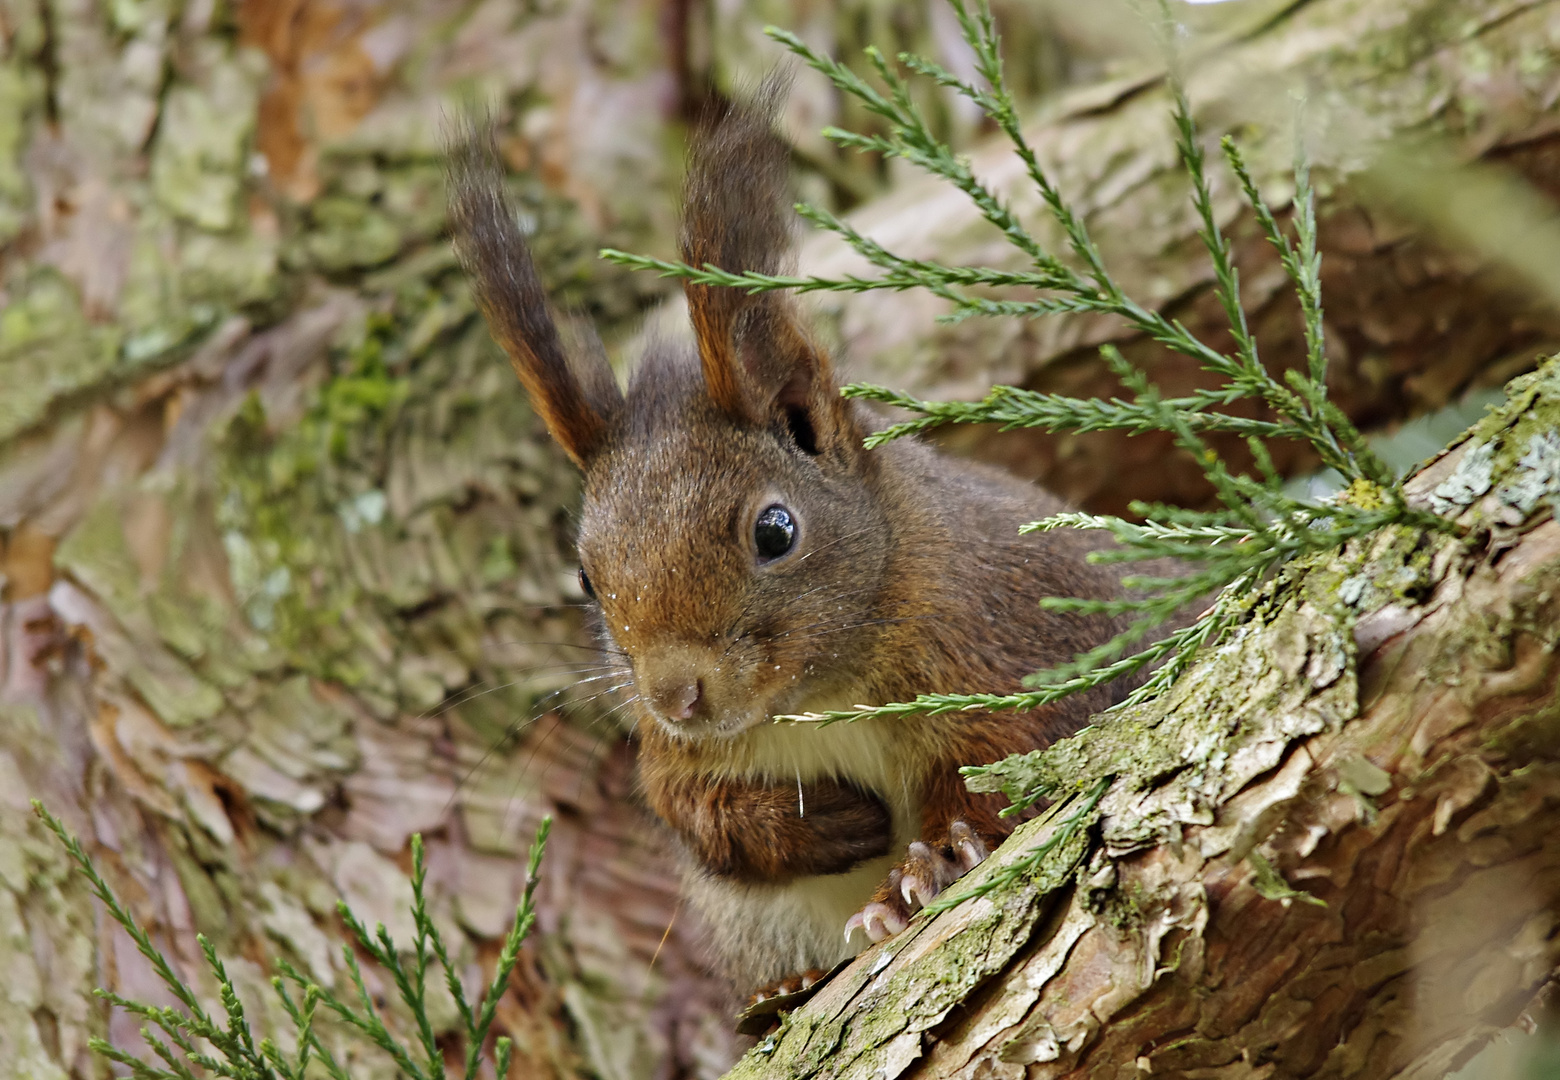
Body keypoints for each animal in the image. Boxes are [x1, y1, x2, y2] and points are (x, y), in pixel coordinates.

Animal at [452, 79, 1135, 1011]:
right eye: (586, 580)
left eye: (775, 531)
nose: (676, 697)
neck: (813, 696)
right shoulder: (674, 760)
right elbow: (692, 812)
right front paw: (827, 822)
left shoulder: (1004, 638)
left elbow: (1007, 764)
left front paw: (931, 862)